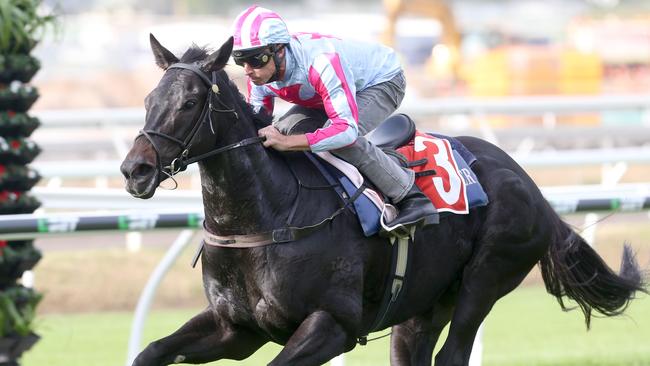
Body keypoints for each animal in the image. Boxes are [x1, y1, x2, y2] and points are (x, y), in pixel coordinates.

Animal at [120, 34, 644, 366]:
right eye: (147, 100)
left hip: (486, 278)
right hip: (422, 305)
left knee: (454, 353)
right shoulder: (236, 329)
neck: (264, 216)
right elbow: (150, 352)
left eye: (190, 102)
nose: (134, 170)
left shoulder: (332, 325)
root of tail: (531, 186)